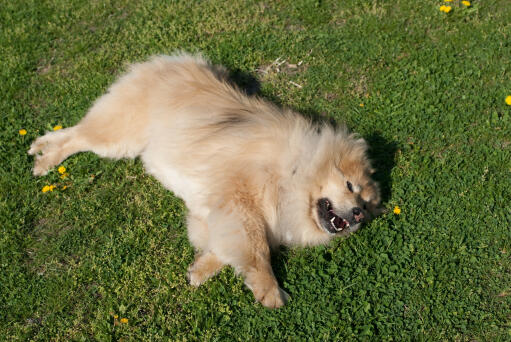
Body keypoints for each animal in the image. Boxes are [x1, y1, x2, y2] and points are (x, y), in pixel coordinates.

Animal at [29, 53, 380, 310]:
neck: (293, 173)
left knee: (72, 132)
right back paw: (45, 160)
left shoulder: (218, 214)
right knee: (76, 136)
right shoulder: (240, 205)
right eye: (350, 187)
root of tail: (167, 61)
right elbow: (256, 249)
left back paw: (39, 149)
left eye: (365, 205)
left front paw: (199, 271)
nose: (358, 214)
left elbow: (224, 248)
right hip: (119, 138)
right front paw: (270, 291)